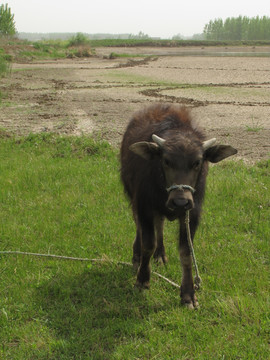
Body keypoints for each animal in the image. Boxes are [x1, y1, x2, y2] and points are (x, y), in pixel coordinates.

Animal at [120, 102, 236, 308]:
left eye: (197, 162)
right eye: (166, 161)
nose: (180, 201)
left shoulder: (192, 213)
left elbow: (186, 252)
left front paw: (188, 294)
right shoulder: (143, 206)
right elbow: (148, 243)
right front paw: (142, 280)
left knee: (160, 225)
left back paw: (161, 254)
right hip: (133, 198)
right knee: (139, 227)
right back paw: (137, 256)